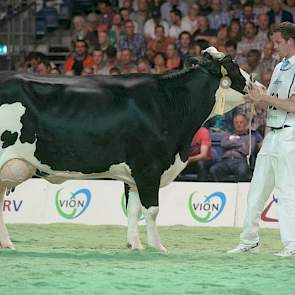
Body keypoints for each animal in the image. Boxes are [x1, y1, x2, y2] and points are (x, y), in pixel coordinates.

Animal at [0, 47, 250, 251]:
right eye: (233, 66)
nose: (256, 82)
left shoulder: (134, 175)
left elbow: (133, 210)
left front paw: (135, 245)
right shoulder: (148, 168)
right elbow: (151, 210)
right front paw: (157, 247)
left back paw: (7, 243)